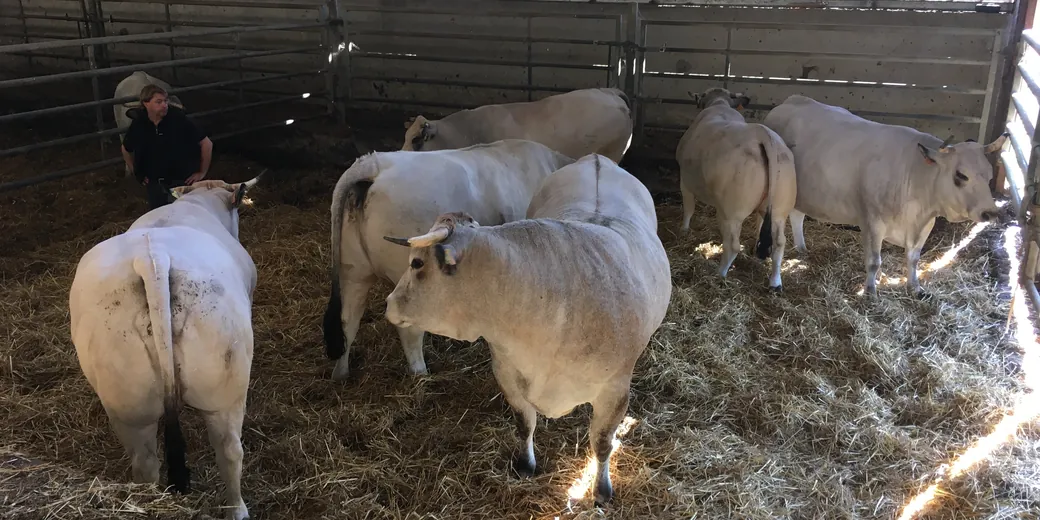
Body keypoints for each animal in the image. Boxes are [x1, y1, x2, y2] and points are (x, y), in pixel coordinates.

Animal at [68, 172, 265, 520]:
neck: (197, 202)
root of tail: (152, 260)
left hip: (129, 406)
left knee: (145, 464)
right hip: (225, 390)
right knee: (229, 451)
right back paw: (237, 509)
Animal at [322, 139, 576, 381]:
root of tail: (373, 164)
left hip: (352, 271)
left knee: (348, 320)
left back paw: (341, 373)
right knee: (409, 330)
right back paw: (421, 373)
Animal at [380, 154, 672, 506]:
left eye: (417, 263)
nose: (389, 303)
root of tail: (597, 160)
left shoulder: (615, 391)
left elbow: (603, 443)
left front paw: (601, 491)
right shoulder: (506, 372)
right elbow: (525, 423)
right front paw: (525, 465)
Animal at [676, 87, 797, 290]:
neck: (719, 103)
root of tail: (762, 134)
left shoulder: (685, 179)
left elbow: (689, 208)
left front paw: (684, 230)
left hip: (733, 211)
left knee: (733, 245)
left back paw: (720, 273)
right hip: (779, 209)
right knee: (779, 242)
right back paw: (775, 282)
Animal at [761, 94, 1008, 297]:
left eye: (989, 175)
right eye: (961, 175)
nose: (990, 212)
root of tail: (790, 102)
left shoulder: (924, 225)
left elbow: (913, 259)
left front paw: (915, 287)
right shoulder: (872, 222)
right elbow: (874, 261)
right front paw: (870, 291)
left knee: (797, 216)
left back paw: (802, 248)